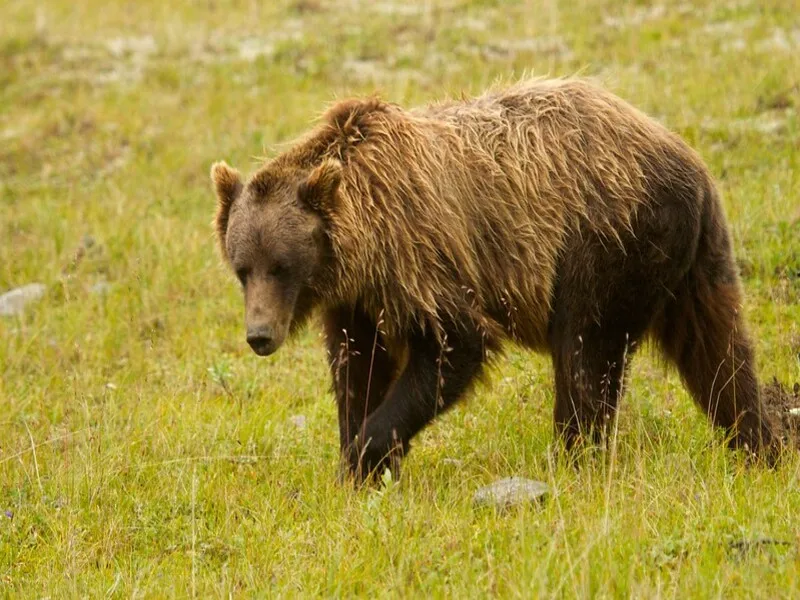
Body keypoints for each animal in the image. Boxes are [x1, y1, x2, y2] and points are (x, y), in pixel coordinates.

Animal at [214, 77, 780, 482]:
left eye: (280, 265)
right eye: (242, 269)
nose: (259, 335)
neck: (358, 243)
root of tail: (691, 160)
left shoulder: (419, 254)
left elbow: (454, 345)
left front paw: (366, 453)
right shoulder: (359, 297)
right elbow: (358, 366)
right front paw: (359, 458)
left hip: (607, 240)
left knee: (584, 352)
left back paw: (573, 457)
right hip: (693, 259)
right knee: (718, 352)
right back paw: (759, 444)